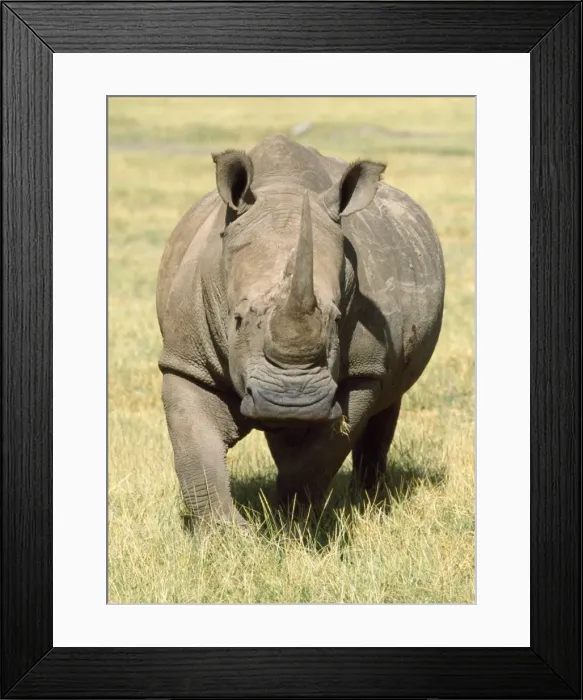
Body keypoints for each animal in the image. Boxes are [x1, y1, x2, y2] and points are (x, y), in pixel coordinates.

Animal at [157, 134, 445, 526]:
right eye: (237, 319)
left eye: (337, 320)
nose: (291, 403)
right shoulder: (186, 360)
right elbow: (195, 450)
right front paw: (226, 535)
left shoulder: (362, 371)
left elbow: (320, 455)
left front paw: (291, 521)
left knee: (388, 403)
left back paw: (369, 503)